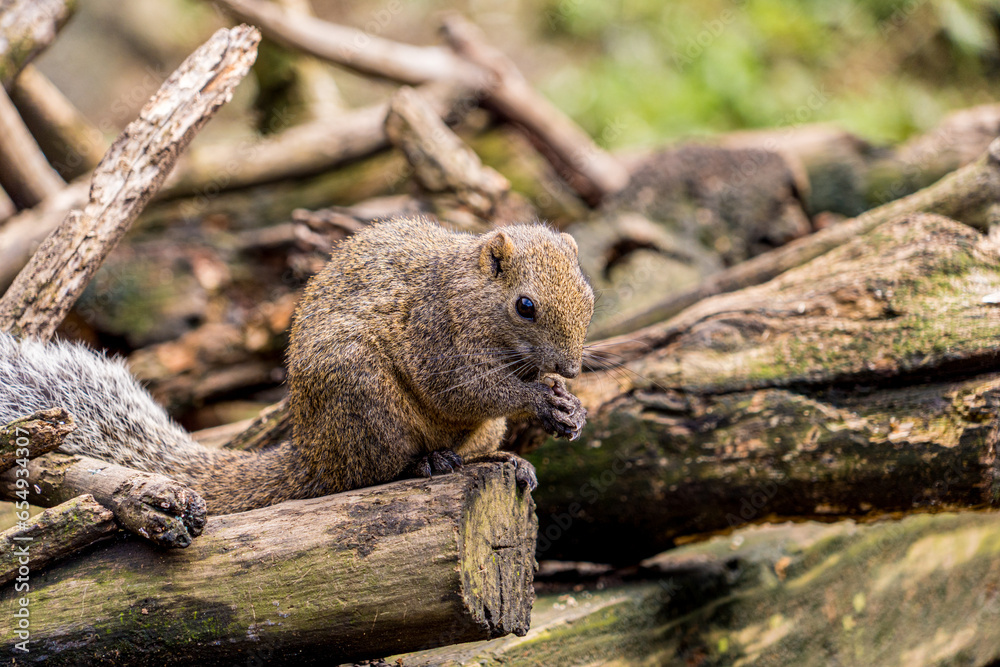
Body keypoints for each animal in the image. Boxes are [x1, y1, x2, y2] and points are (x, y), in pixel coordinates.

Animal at [0, 217, 594, 515]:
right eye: (525, 305)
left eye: (587, 292)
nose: (570, 366)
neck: (471, 292)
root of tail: (312, 451)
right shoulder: (437, 336)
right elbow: (461, 390)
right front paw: (541, 401)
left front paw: (569, 407)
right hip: (366, 400)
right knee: (368, 474)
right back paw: (425, 464)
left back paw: (502, 458)